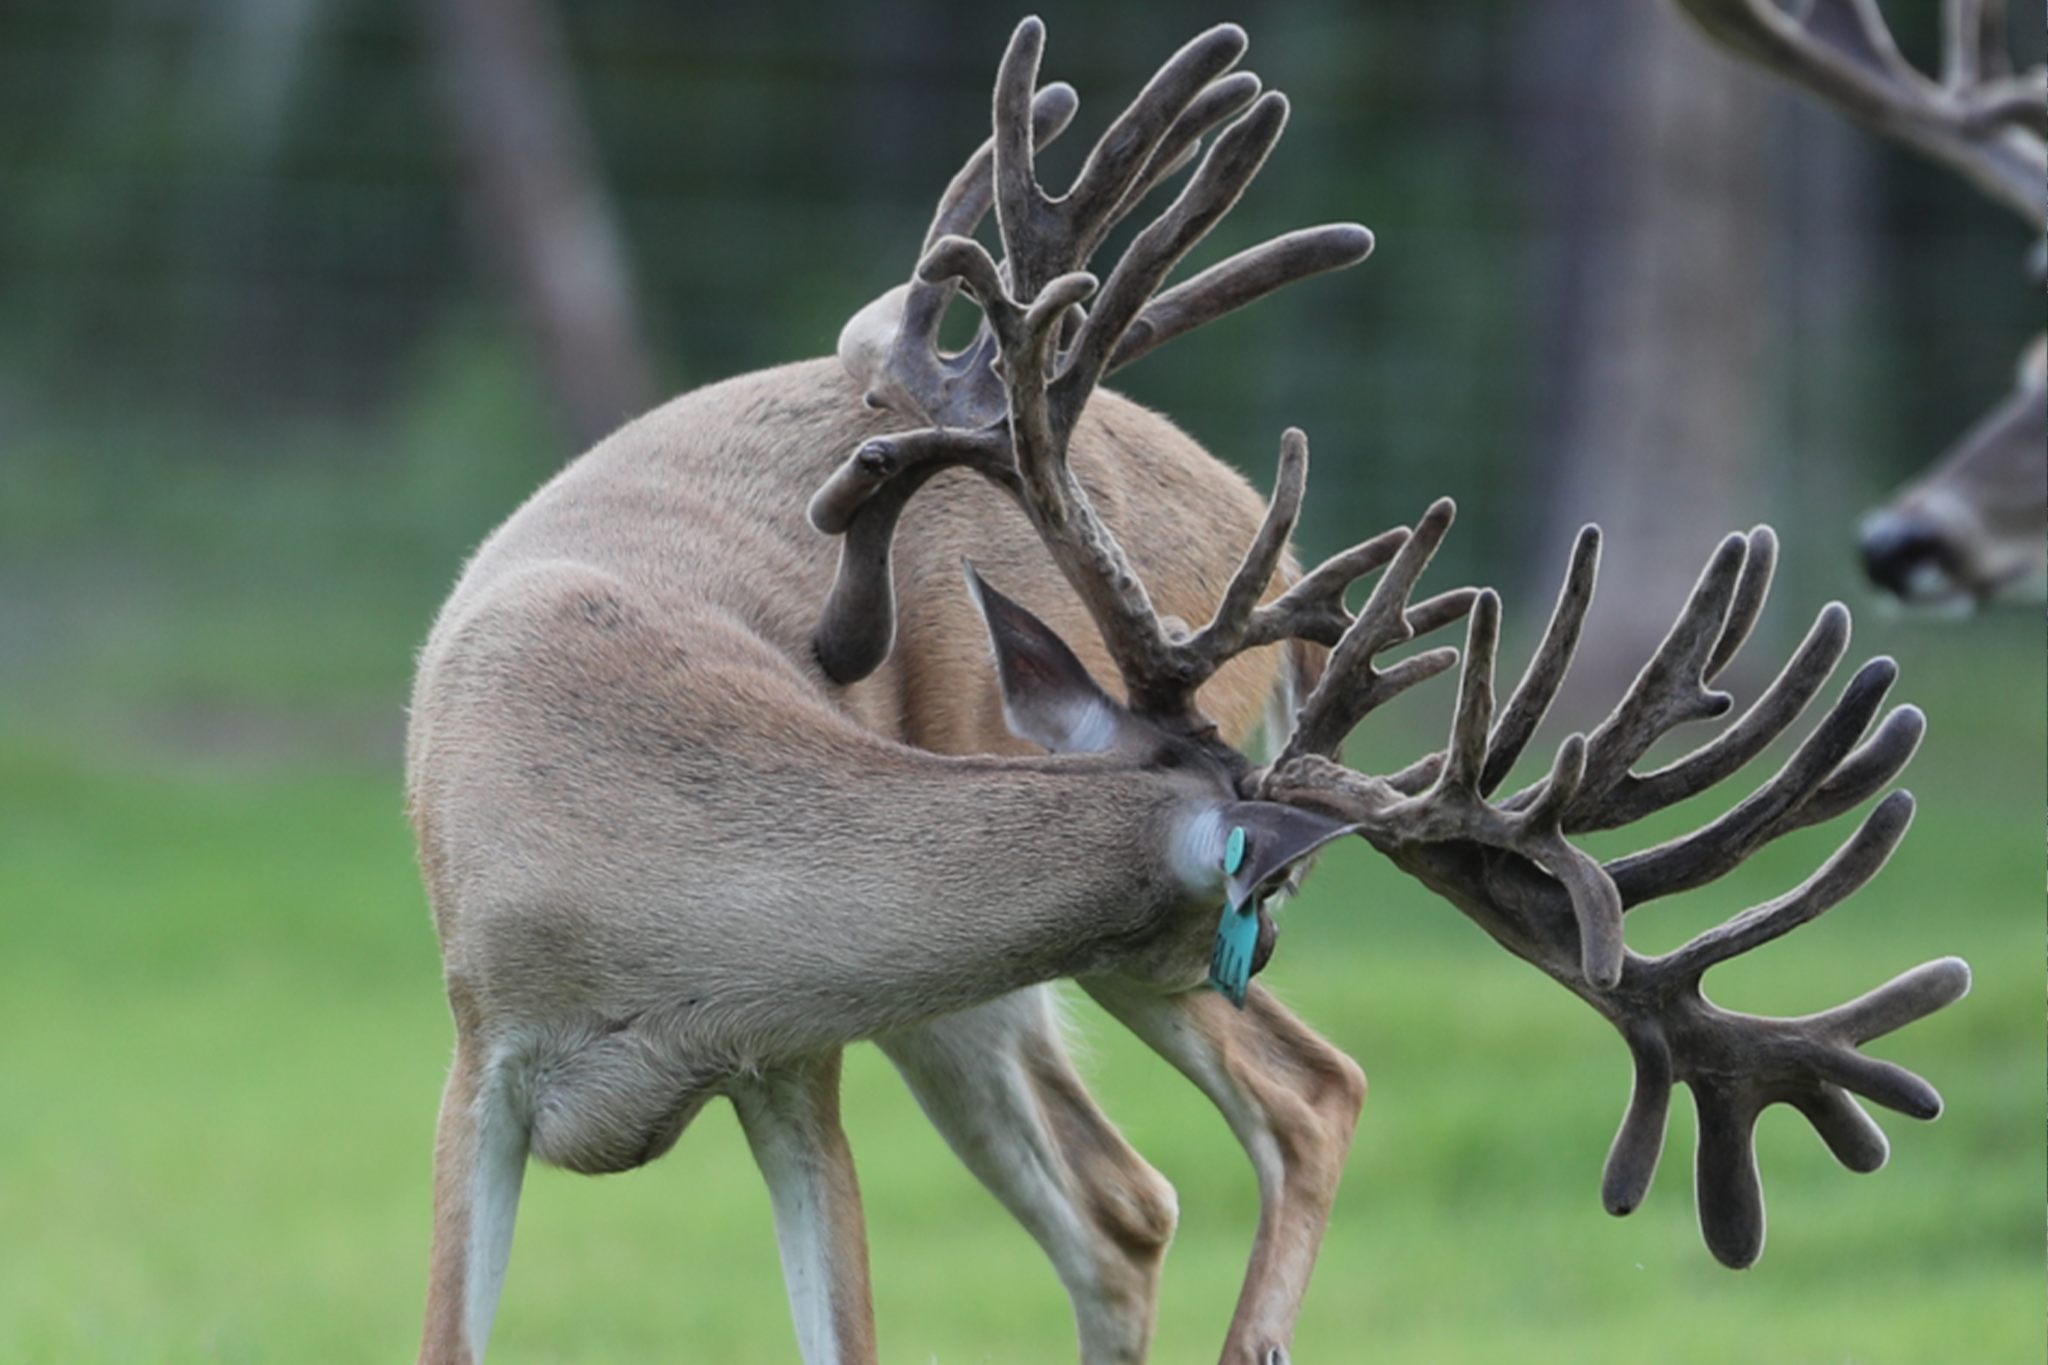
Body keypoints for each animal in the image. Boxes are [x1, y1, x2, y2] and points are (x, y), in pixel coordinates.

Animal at [411, 21, 1966, 1365]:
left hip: (992, 995)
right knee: (1141, 1193)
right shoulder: (478, 1044)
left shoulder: (797, 1064)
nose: (1264, 949)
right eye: (1259, 909)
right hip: (975, 997)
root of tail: (1223, 486)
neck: (651, 916)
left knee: (1288, 1106)